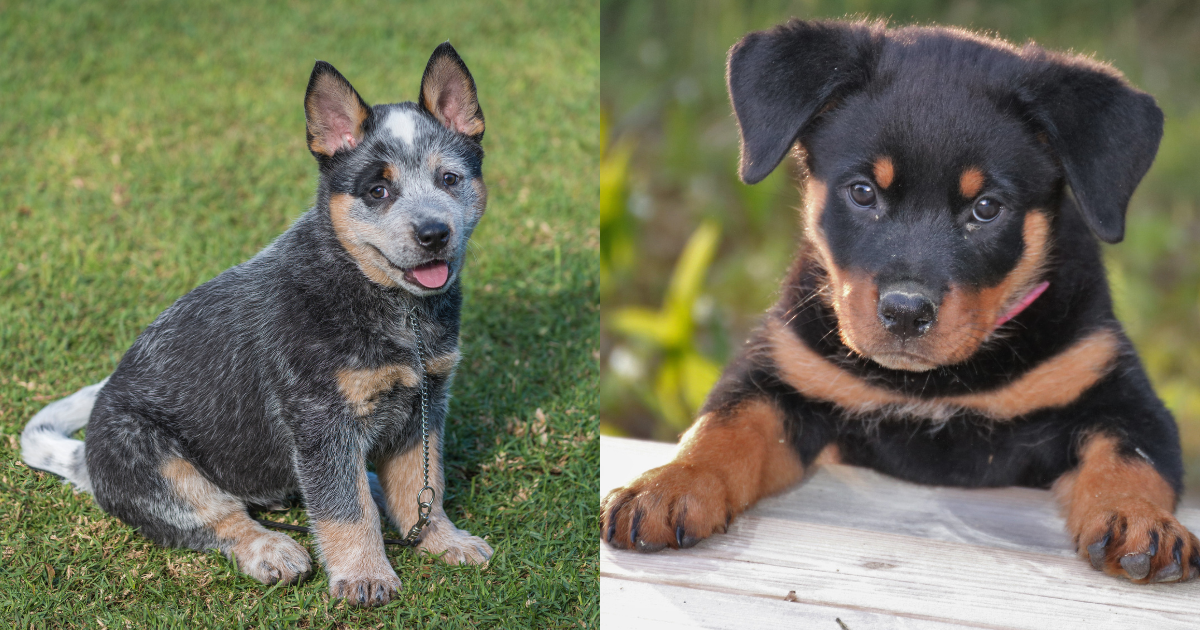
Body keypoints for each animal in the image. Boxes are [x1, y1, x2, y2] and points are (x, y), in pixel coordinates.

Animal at [23, 42, 492, 604]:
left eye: (450, 179)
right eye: (378, 192)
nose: (434, 233)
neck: (394, 309)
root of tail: (86, 462)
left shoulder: (425, 401)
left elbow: (423, 486)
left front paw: (443, 540)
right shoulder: (321, 420)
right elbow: (344, 509)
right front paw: (365, 576)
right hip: (152, 456)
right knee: (220, 514)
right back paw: (272, 550)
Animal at [604, 20, 1195, 585]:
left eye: (986, 208)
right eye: (863, 191)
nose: (907, 312)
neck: (932, 386)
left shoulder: (1120, 396)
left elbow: (1130, 459)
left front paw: (1140, 522)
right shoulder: (784, 375)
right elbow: (724, 425)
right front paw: (667, 487)